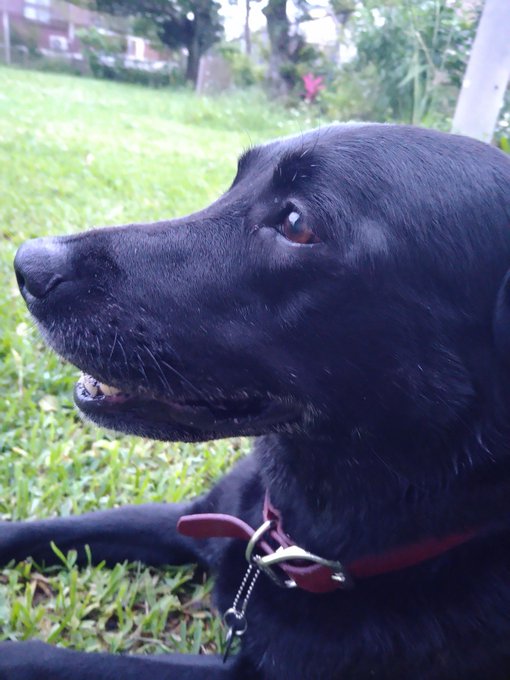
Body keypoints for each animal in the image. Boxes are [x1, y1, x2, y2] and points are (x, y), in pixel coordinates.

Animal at [3, 123, 510, 679]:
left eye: (296, 223)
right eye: (234, 183)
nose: (27, 266)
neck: (290, 535)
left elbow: (46, 657)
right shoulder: (198, 514)